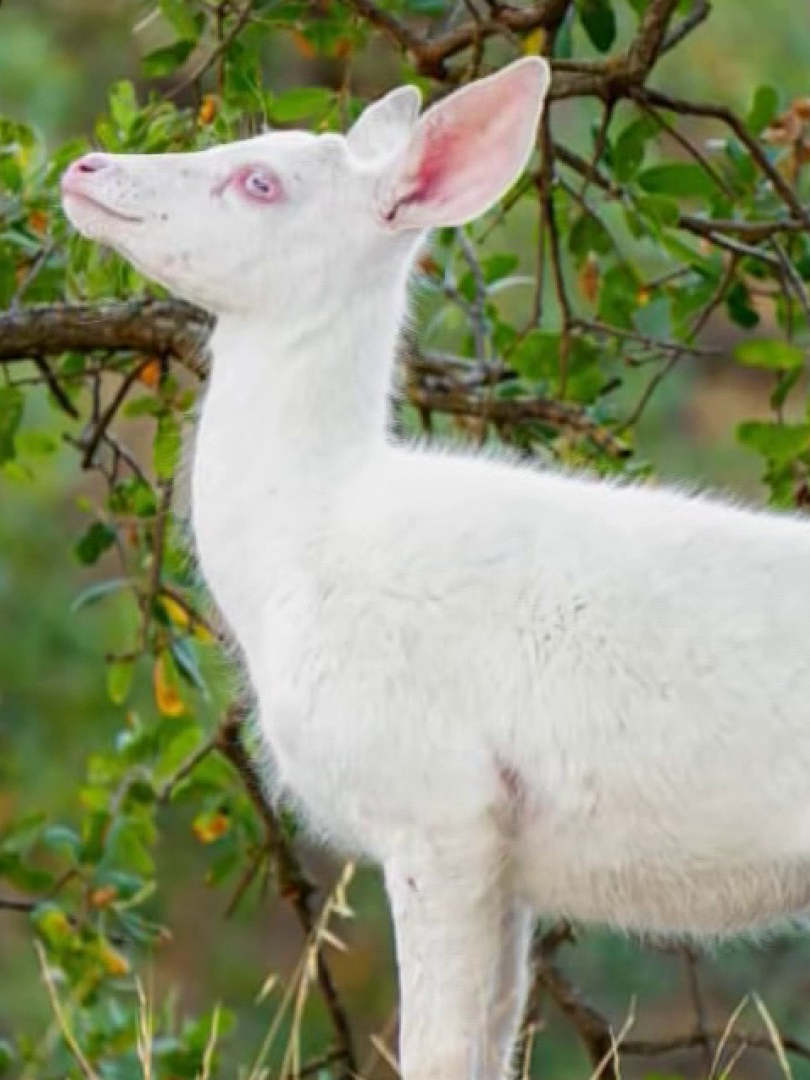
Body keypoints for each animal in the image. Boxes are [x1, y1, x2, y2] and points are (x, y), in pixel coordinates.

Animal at [61, 56, 810, 1080]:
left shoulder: (439, 798)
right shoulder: (511, 860)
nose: (86, 167)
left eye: (260, 181)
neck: (309, 543)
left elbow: (438, 1049)